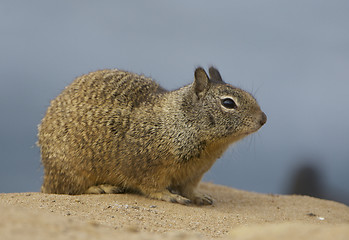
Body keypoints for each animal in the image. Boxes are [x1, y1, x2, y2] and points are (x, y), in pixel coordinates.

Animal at [38, 66, 266, 205]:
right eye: (228, 103)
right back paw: (101, 187)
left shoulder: (194, 174)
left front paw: (199, 196)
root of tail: (47, 174)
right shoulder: (146, 166)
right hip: (72, 170)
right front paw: (169, 196)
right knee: (65, 189)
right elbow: (152, 186)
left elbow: (189, 189)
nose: (263, 119)